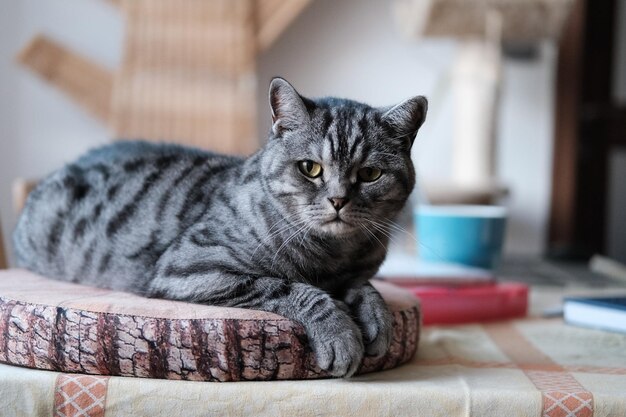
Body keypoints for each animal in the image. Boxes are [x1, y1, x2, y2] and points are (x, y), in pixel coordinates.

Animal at [14, 77, 426, 374]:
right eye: (310, 168)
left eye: (370, 174)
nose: (338, 201)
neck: (332, 255)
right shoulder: (191, 268)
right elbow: (291, 288)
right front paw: (340, 333)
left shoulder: (356, 271)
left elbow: (365, 286)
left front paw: (378, 318)